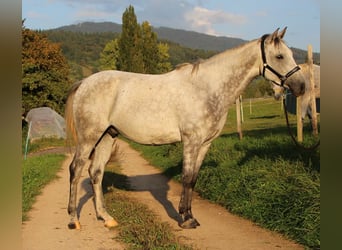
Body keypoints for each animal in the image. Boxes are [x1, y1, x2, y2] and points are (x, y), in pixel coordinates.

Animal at [65, 26, 306, 229]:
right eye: (280, 56)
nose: (301, 86)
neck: (207, 88)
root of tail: (84, 83)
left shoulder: (205, 143)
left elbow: (193, 179)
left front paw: (189, 215)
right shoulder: (191, 140)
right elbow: (187, 177)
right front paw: (185, 219)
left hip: (107, 136)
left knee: (96, 173)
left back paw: (106, 217)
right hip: (89, 138)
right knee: (75, 170)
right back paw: (73, 220)